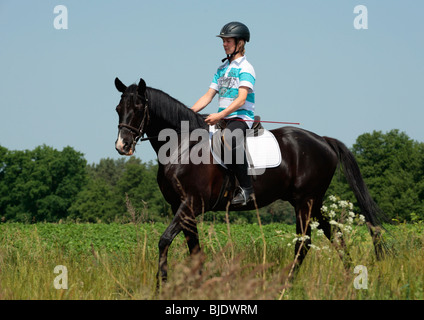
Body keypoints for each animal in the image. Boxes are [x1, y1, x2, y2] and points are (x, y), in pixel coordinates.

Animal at [113, 77, 388, 282]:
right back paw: (350, 276)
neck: (182, 146)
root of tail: (323, 140)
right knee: (336, 236)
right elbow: (194, 250)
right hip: (313, 202)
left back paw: (287, 283)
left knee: (304, 243)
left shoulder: (191, 204)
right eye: (118, 109)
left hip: (305, 202)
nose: (122, 146)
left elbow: (164, 241)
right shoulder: (181, 208)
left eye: (138, 109)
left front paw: (162, 285)